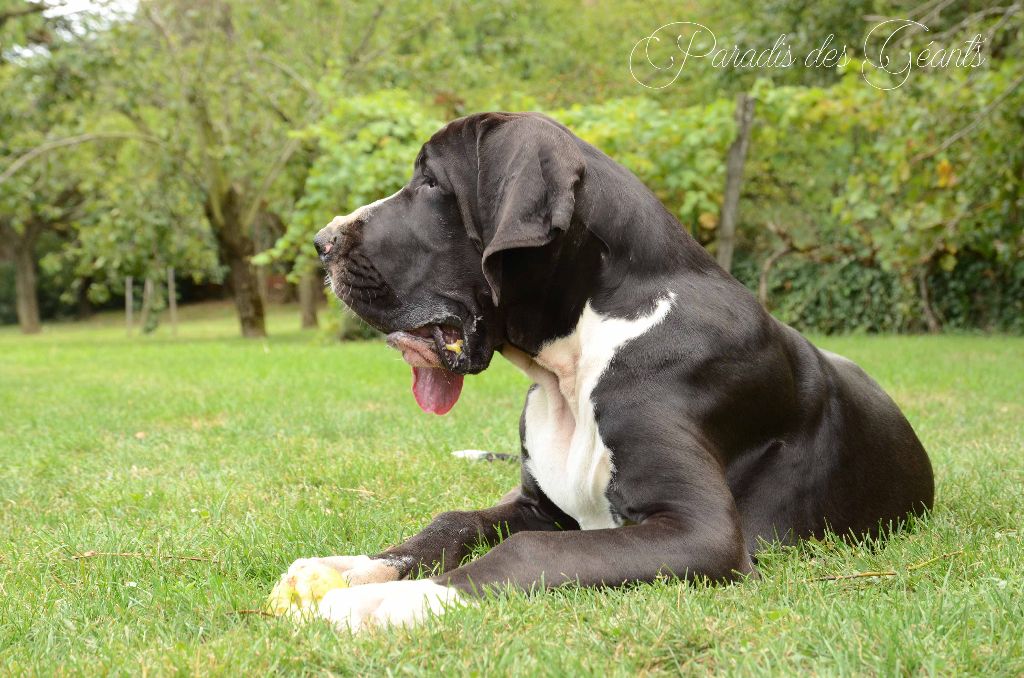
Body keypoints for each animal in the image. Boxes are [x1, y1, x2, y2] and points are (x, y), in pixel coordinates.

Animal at [290, 110, 937, 630]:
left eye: (429, 182)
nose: (321, 242)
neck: (579, 355)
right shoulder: (540, 506)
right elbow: (453, 520)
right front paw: (356, 568)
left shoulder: (701, 532)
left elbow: (528, 551)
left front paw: (388, 601)